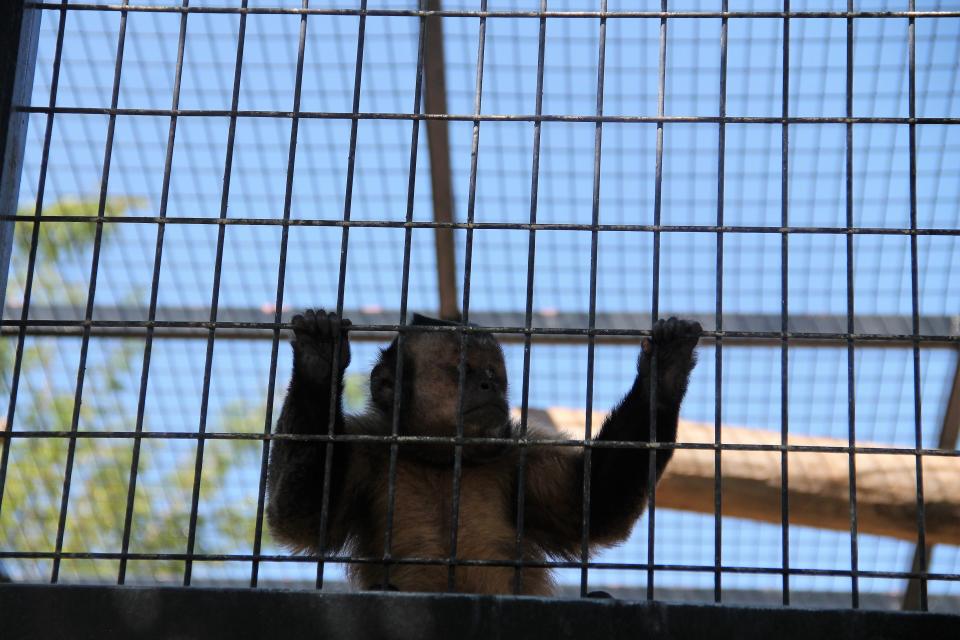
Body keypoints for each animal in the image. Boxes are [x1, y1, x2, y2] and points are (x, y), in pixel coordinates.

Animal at [266, 310, 700, 596]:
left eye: (495, 375)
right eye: (466, 371)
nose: (490, 387)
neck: (441, 461)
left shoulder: (519, 457)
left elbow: (592, 510)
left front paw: (662, 376)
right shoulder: (367, 450)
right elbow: (301, 518)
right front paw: (318, 366)